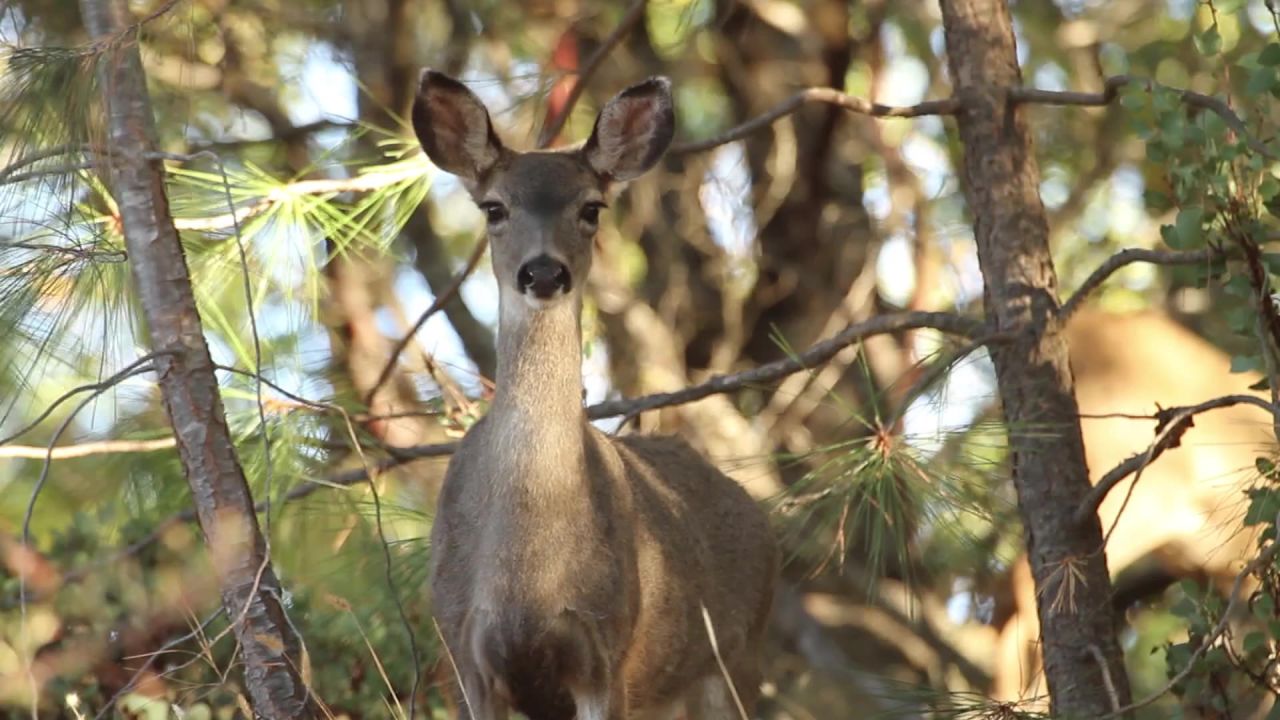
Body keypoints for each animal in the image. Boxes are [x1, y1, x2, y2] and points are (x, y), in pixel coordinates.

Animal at [413, 70, 779, 720]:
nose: (543, 272)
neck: (527, 573)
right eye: (494, 208)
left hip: (733, 665)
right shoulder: (464, 652)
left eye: (591, 207)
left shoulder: (606, 651)